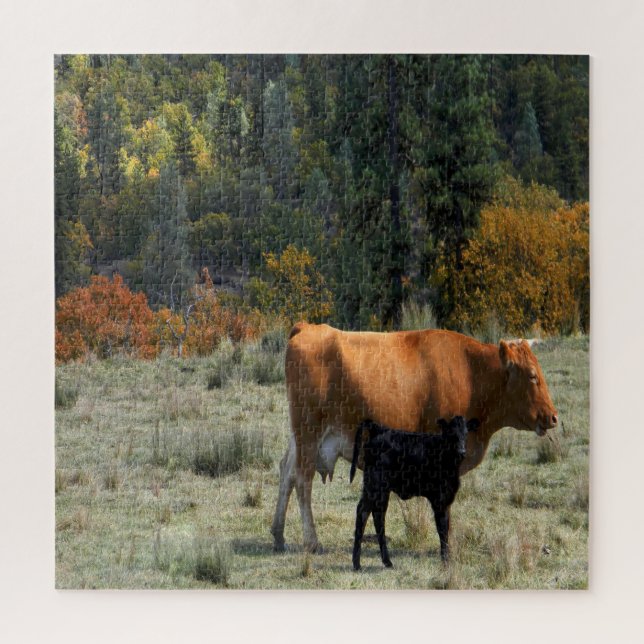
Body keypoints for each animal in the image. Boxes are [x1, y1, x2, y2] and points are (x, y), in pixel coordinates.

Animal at [271, 322, 558, 553]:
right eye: (532, 375)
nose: (553, 417)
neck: (472, 374)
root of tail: (307, 327)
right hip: (309, 434)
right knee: (302, 481)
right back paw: (311, 541)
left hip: (300, 438)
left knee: (286, 473)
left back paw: (278, 535)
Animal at [350, 416, 479, 570]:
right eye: (451, 434)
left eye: (465, 434)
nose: (461, 451)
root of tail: (380, 429)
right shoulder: (439, 500)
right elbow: (442, 529)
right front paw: (445, 561)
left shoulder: (447, 500)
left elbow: (447, 527)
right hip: (376, 485)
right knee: (369, 514)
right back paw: (366, 562)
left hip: (377, 489)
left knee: (371, 514)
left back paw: (375, 562)